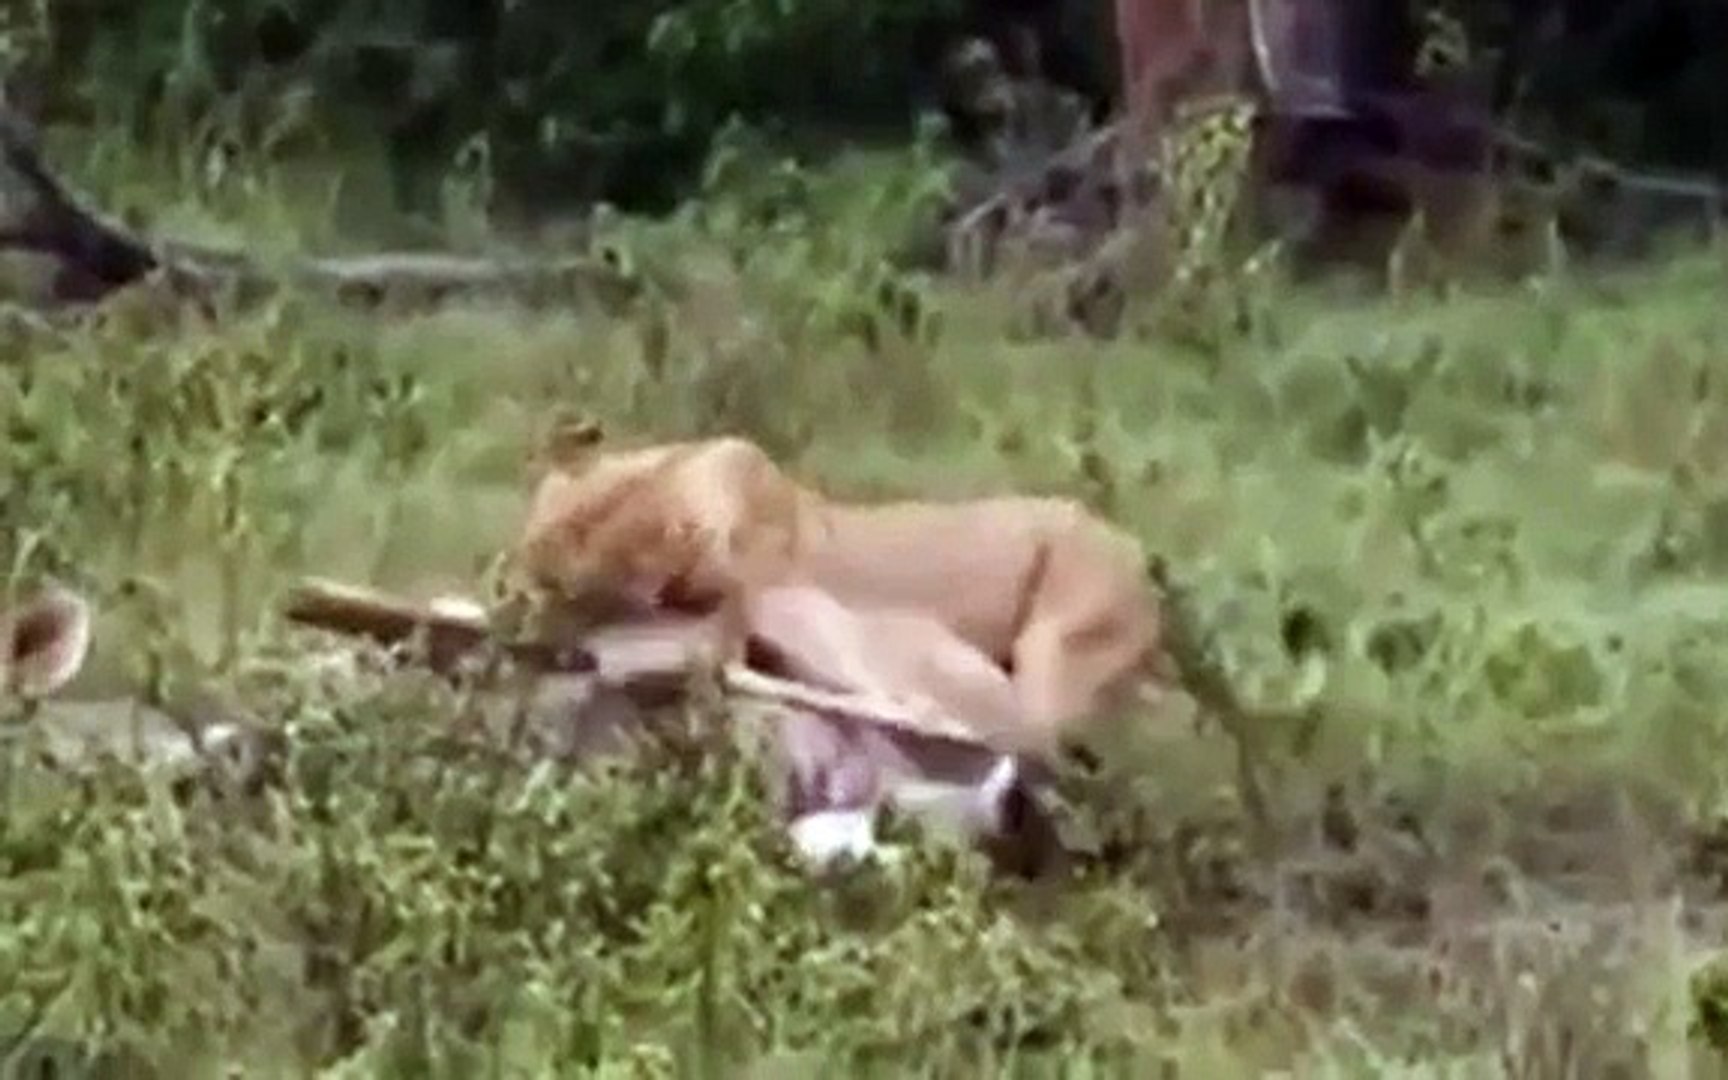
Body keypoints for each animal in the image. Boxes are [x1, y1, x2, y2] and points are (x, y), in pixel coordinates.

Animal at [506, 433, 1165, 761]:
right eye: (538, 556)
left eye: (572, 587)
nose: (526, 624)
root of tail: (1142, 562)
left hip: (1053, 641)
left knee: (1024, 733)